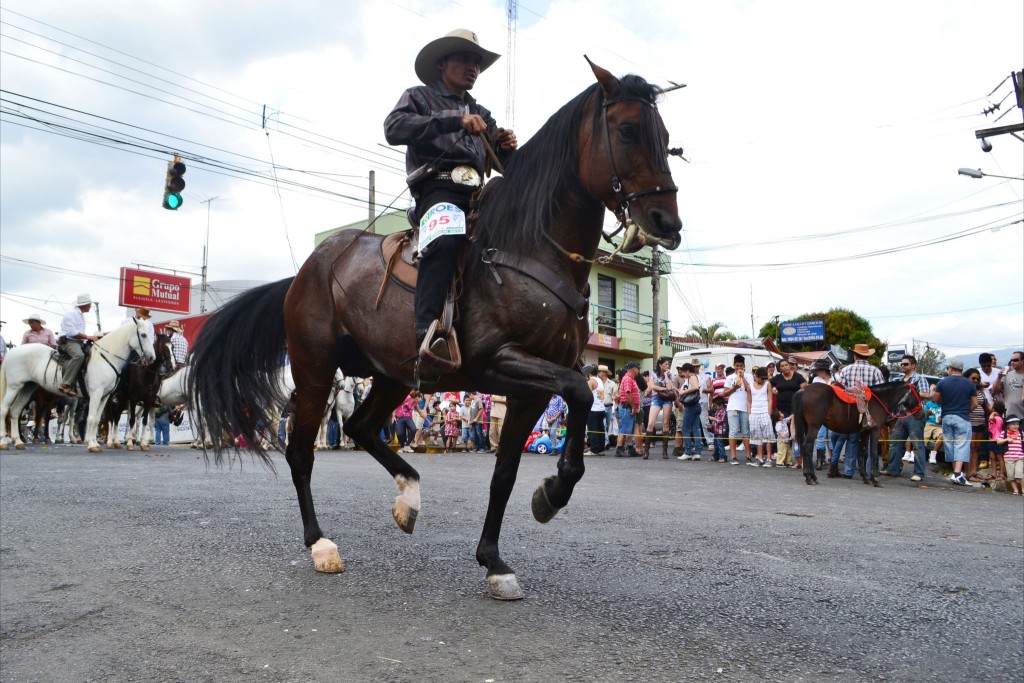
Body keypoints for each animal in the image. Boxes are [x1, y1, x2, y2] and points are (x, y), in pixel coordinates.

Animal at [0, 317, 155, 450]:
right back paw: (4, 442)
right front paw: (91, 445)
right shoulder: (96, 393)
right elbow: (91, 419)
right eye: (143, 335)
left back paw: (18, 442)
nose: (152, 358)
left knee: (15, 411)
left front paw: (94, 443)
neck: (105, 358)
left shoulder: (104, 396)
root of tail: (12, 352)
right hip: (14, 387)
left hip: (27, 388)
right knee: (4, 409)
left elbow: (97, 419)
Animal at [189, 61, 684, 602]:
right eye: (628, 130)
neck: (528, 249)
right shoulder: (500, 364)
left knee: (360, 427)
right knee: (300, 451)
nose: (666, 221)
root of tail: (305, 272)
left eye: (665, 138)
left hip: (393, 375)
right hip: (315, 370)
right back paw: (320, 544)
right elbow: (578, 393)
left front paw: (494, 560)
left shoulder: (530, 388)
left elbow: (506, 472)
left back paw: (408, 497)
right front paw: (551, 494)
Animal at [786, 385, 925, 485]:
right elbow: (873, 454)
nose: (922, 414)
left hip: (807, 426)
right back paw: (811, 477)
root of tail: (804, 390)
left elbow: (863, 453)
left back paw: (809, 476)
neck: (879, 400)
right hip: (814, 427)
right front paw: (875, 479)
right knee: (807, 447)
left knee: (806, 448)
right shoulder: (875, 431)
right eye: (918, 394)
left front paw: (865, 477)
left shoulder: (865, 432)